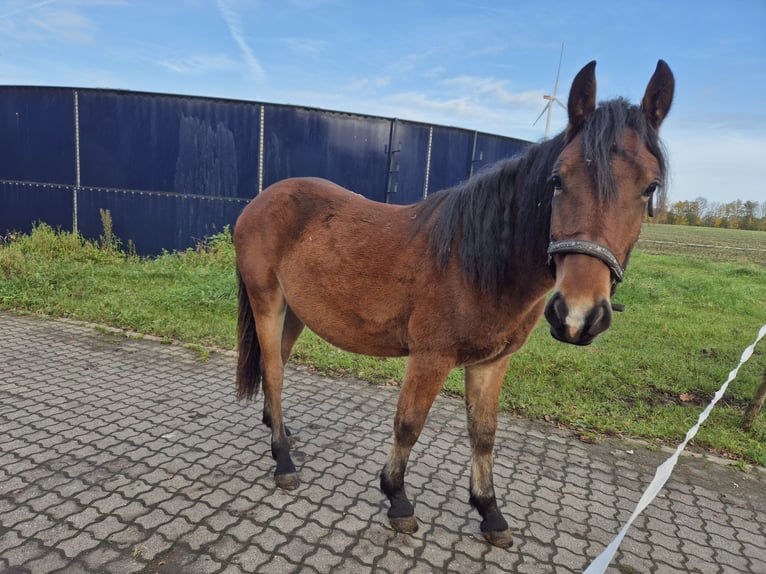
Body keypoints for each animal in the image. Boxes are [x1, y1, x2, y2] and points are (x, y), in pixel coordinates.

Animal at [236, 59, 680, 548]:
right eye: (557, 180)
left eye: (649, 187)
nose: (578, 315)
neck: (477, 263)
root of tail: (261, 200)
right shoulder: (430, 358)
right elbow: (409, 424)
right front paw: (397, 499)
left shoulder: (492, 362)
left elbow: (483, 433)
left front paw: (489, 511)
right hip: (267, 301)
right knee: (275, 372)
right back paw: (282, 460)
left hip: (295, 312)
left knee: (276, 366)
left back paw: (279, 431)